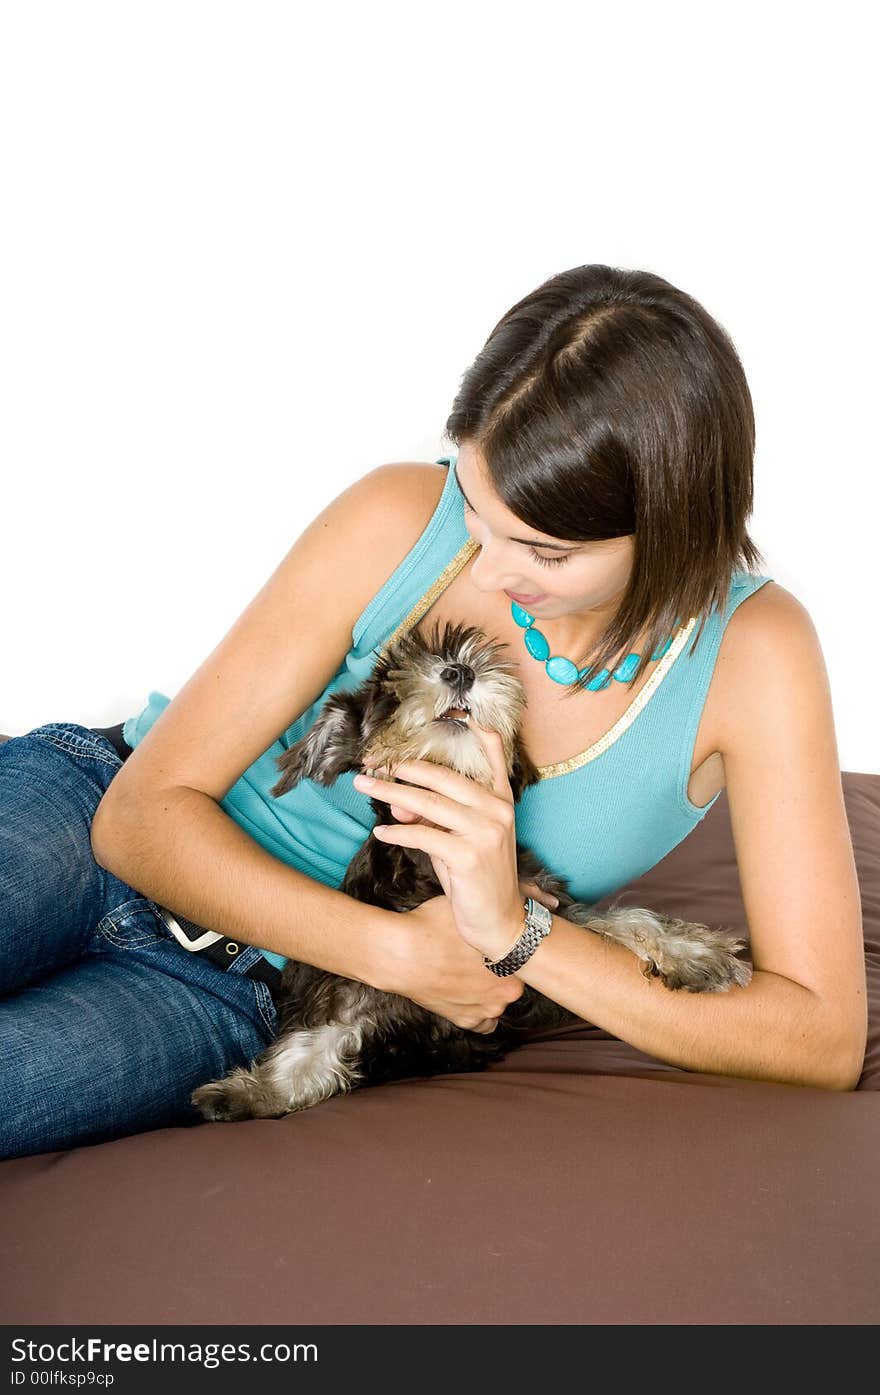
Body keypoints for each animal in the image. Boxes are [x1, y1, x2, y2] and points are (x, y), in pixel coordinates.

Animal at [192, 622, 753, 1121]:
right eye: (387, 697)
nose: (459, 671)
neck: (440, 848)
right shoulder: (351, 991)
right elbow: (309, 1050)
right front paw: (244, 1095)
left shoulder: (536, 902)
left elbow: (623, 919)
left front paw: (697, 955)